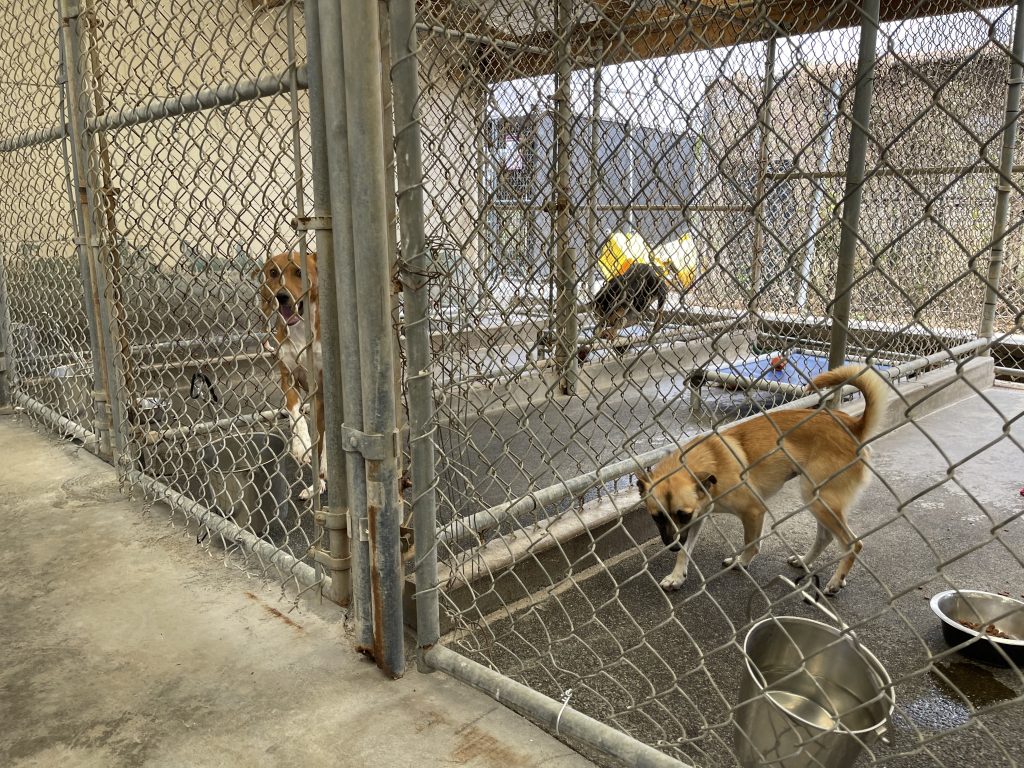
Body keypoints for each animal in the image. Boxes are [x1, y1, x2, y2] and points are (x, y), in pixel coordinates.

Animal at [257, 252, 324, 499]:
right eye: (273, 272)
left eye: (299, 271)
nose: (282, 296)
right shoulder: (288, 377)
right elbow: (296, 414)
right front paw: (300, 445)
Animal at [638, 364, 886, 595]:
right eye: (656, 517)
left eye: (683, 515)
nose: (670, 546)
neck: (711, 461)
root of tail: (853, 426)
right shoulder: (698, 517)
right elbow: (685, 551)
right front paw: (676, 576)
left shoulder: (753, 511)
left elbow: (751, 543)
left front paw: (741, 562)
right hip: (817, 500)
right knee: (825, 537)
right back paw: (805, 562)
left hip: (818, 499)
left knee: (853, 543)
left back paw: (835, 580)